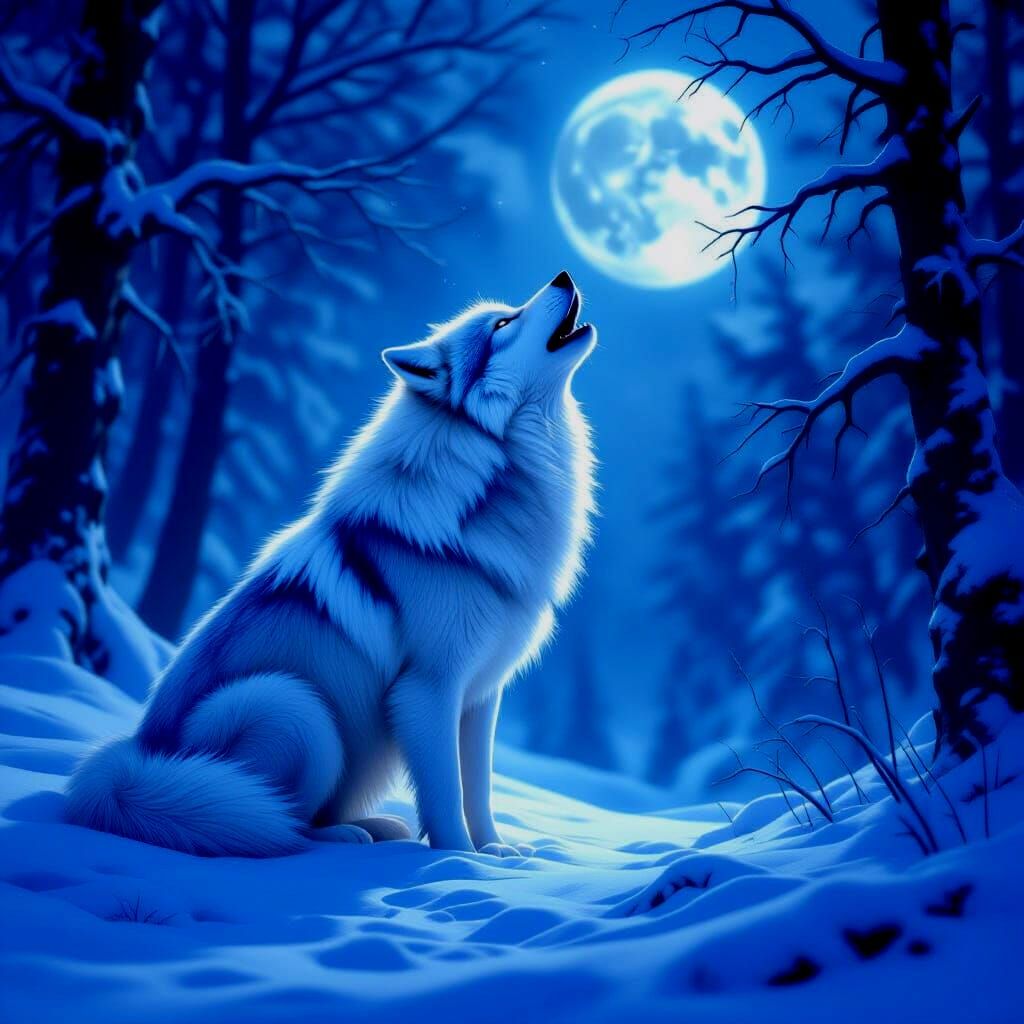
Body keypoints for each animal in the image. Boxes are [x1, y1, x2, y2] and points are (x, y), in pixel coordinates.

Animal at [67, 272, 596, 857]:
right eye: (503, 324)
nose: (564, 275)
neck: (492, 490)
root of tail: (134, 760)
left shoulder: (481, 694)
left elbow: (477, 786)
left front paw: (496, 854)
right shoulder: (427, 692)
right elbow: (445, 794)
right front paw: (458, 859)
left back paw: (377, 828)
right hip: (293, 708)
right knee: (278, 824)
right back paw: (344, 835)